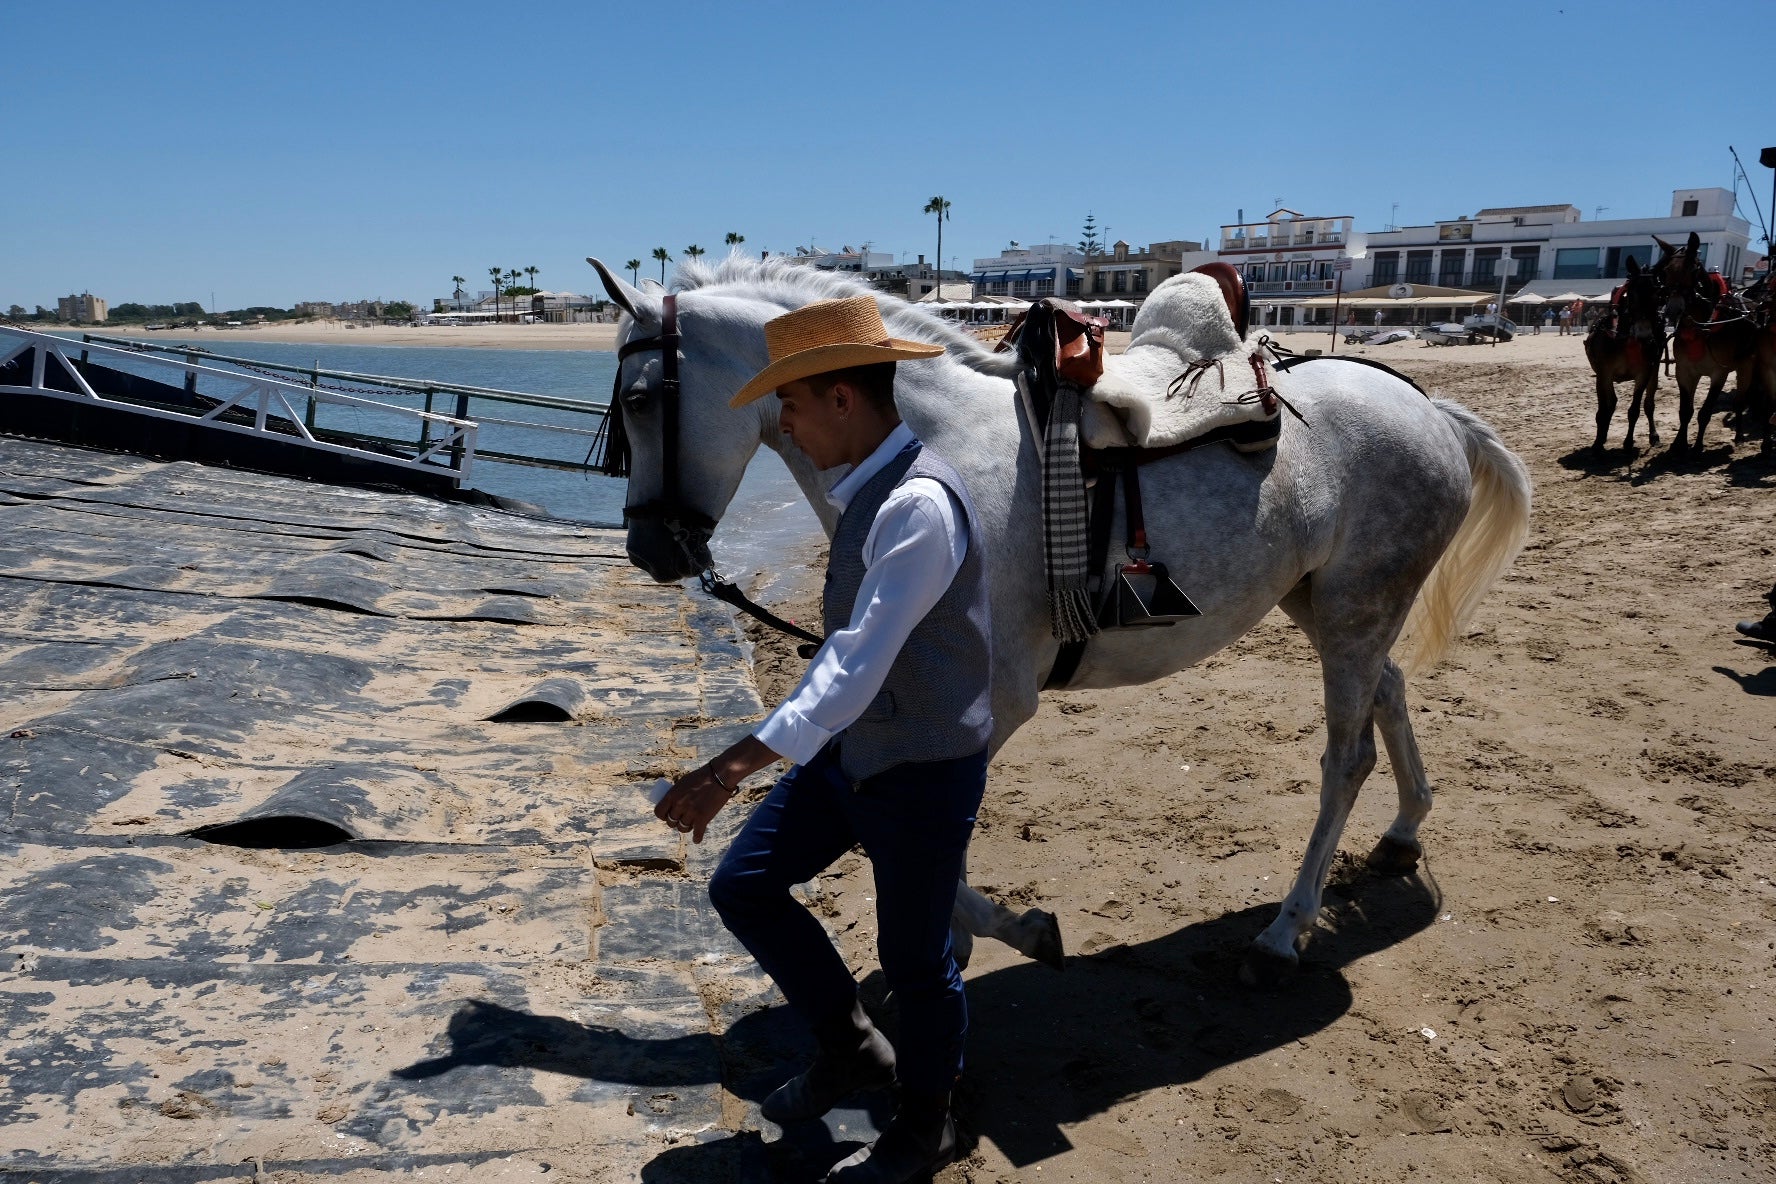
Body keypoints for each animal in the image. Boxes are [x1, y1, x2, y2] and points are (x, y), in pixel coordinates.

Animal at [582, 257, 1527, 979]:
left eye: (638, 399)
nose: (649, 550)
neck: (943, 446)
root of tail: (1431, 410)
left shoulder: (994, 702)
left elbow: (917, 843)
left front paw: (1011, 931)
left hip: (1355, 610)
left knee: (1346, 760)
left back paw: (1286, 929)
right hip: (1332, 606)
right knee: (1391, 694)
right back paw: (1402, 833)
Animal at [1591, 259, 1669, 454]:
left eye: (1658, 294)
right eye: (1631, 294)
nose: (1644, 333)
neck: (1627, 338)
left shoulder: (1644, 373)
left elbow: (1634, 410)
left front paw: (1627, 442)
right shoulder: (1604, 373)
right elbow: (1604, 409)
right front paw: (1598, 443)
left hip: (1654, 371)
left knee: (1649, 404)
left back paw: (1654, 435)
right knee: (1610, 404)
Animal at [1662, 230, 1761, 454]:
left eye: (1692, 269)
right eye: (1666, 270)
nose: (1672, 311)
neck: (1703, 326)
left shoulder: (1719, 374)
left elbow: (1705, 412)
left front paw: (1697, 446)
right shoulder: (1685, 371)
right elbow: (1685, 411)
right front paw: (1678, 444)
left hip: (1746, 365)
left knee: (1740, 401)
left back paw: (1739, 433)